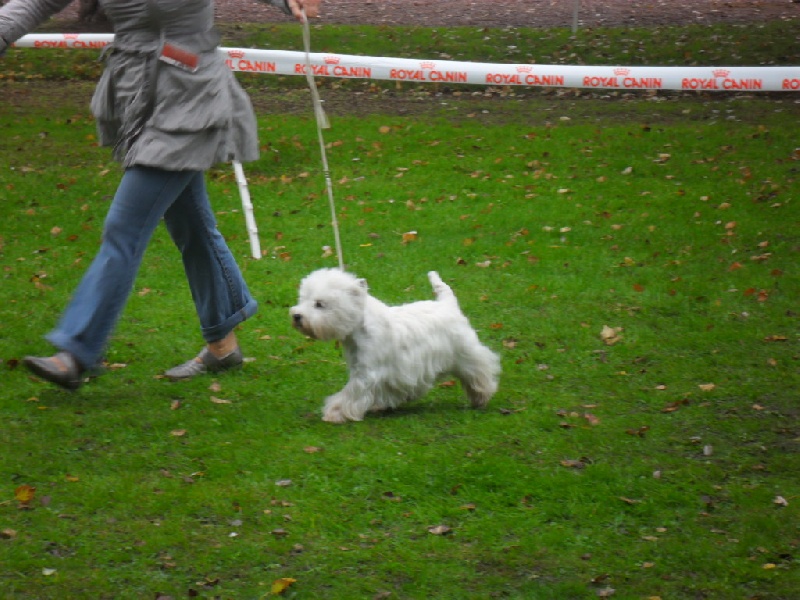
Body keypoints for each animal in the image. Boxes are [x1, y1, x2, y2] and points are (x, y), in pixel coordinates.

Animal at [288, 270, 500, 424]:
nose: (297, 316)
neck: (359, 328)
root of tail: (448, 304)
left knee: (480, 370)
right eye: (303, 299)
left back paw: (481, 396)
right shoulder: (363, 368)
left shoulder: (367, 373)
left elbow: (351, 394)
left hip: (465, 353)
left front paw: (335, 413)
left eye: (319, 304)